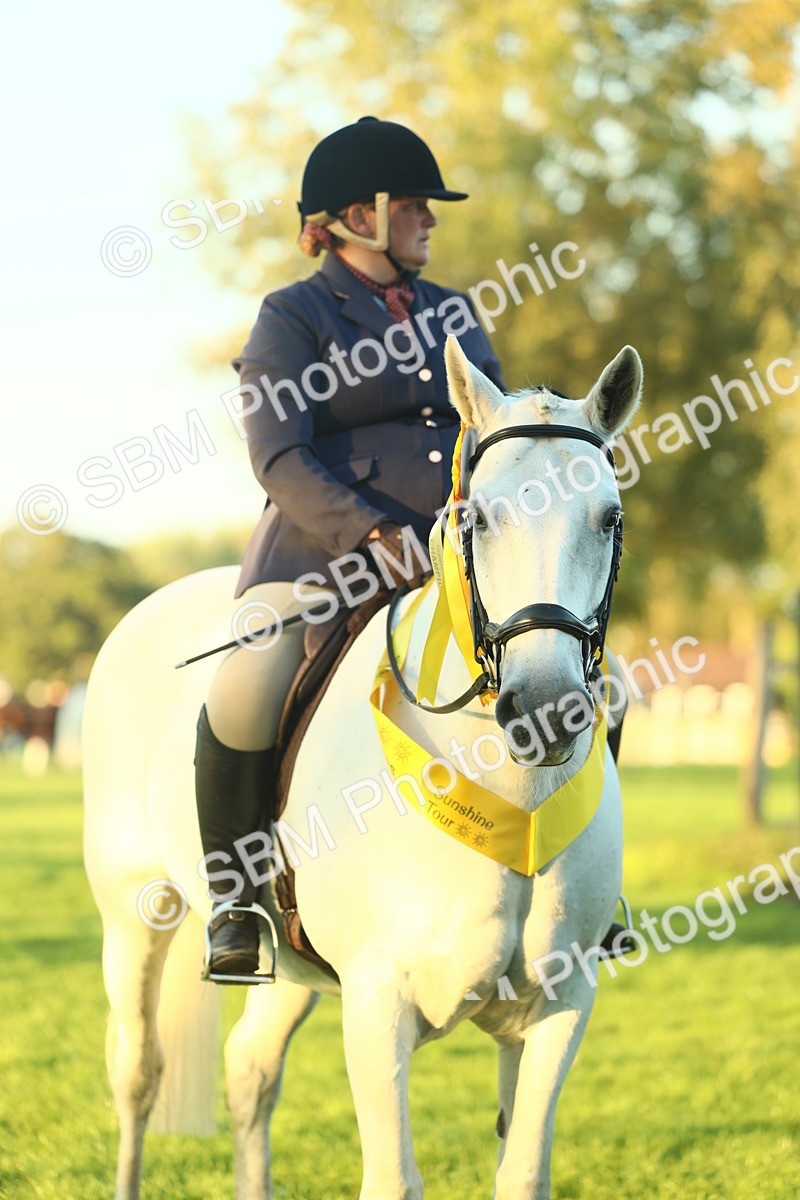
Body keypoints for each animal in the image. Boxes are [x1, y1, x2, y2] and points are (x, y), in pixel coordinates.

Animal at [82, 336, 643, 1200]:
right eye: (479, 517)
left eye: (608, 518)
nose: (547, 707)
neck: (508, 796)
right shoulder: (379, 1006)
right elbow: (392, 1179)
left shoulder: (556, 1009)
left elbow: (522, 1171)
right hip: (136, 915)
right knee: (137, 1073)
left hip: (292, 967)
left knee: (249, 1069)